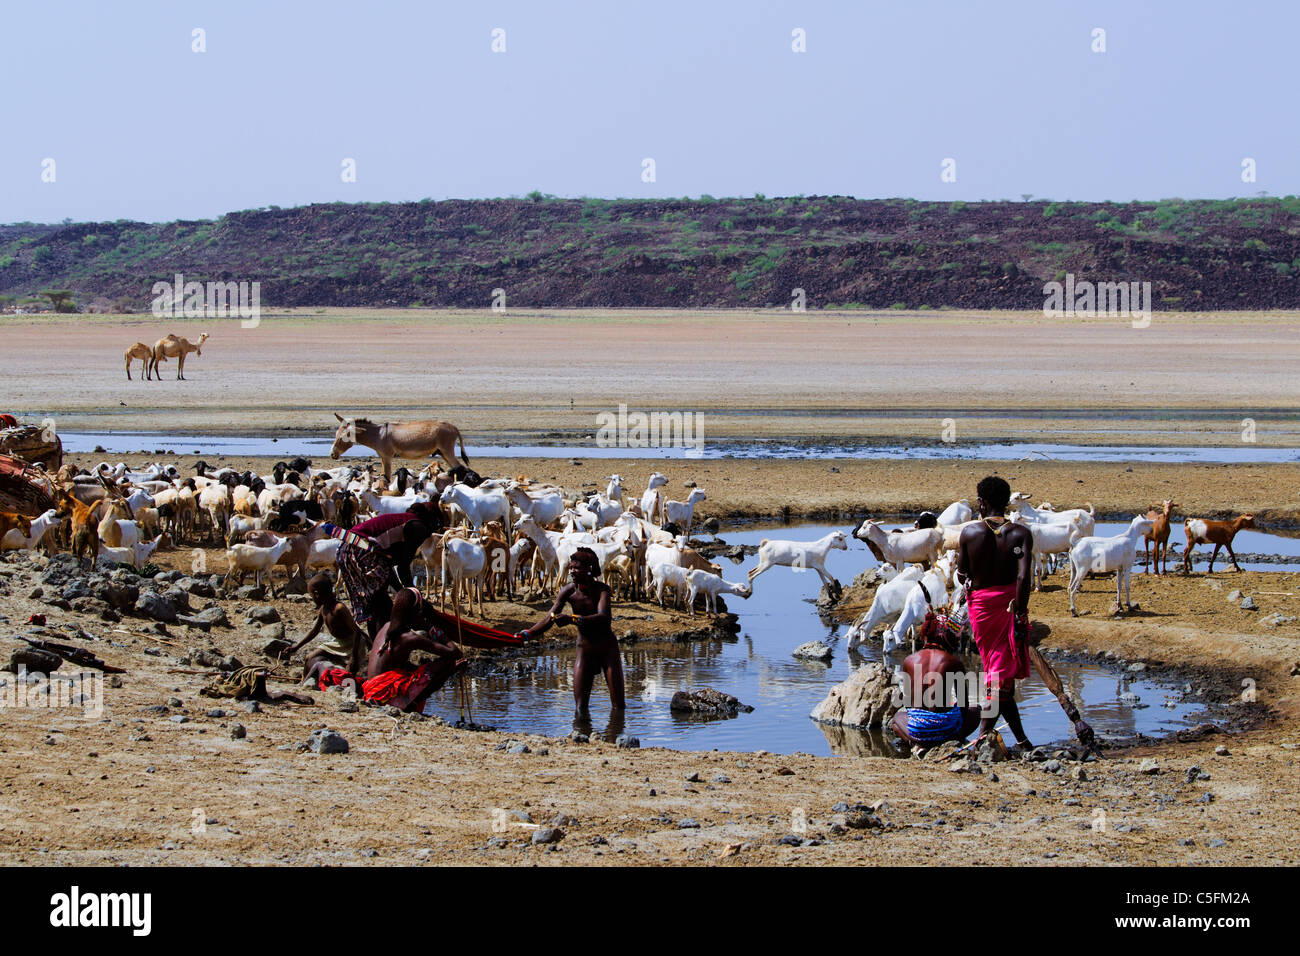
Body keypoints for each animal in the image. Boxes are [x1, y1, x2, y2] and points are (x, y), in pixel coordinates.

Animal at [330, 416, 467, 481]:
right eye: (335, 434)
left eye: (343, 437)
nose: (332, 454)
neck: (379, 434)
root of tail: (454, 427)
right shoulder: (383, 457)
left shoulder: (387, 457)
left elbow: (387, 476)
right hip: (443, 453)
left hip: (447, 451)